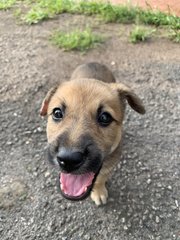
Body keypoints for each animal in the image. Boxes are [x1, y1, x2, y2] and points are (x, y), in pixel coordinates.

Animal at [39, 62, 145, 206]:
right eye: (57, 113)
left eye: (105, 117)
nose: (69, 160)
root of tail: (94, 63)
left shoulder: (109, 165)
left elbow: (100, 178)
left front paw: (98, 191)